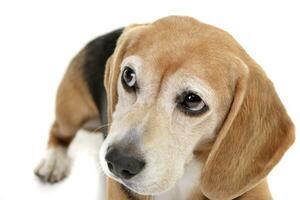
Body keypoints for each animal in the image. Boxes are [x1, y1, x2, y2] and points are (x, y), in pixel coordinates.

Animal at [34, 16, 294, 200]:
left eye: (193, 100)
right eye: (128, 76)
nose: (118, 162)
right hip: (71, 111)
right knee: (58, 132)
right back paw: (53, 162)